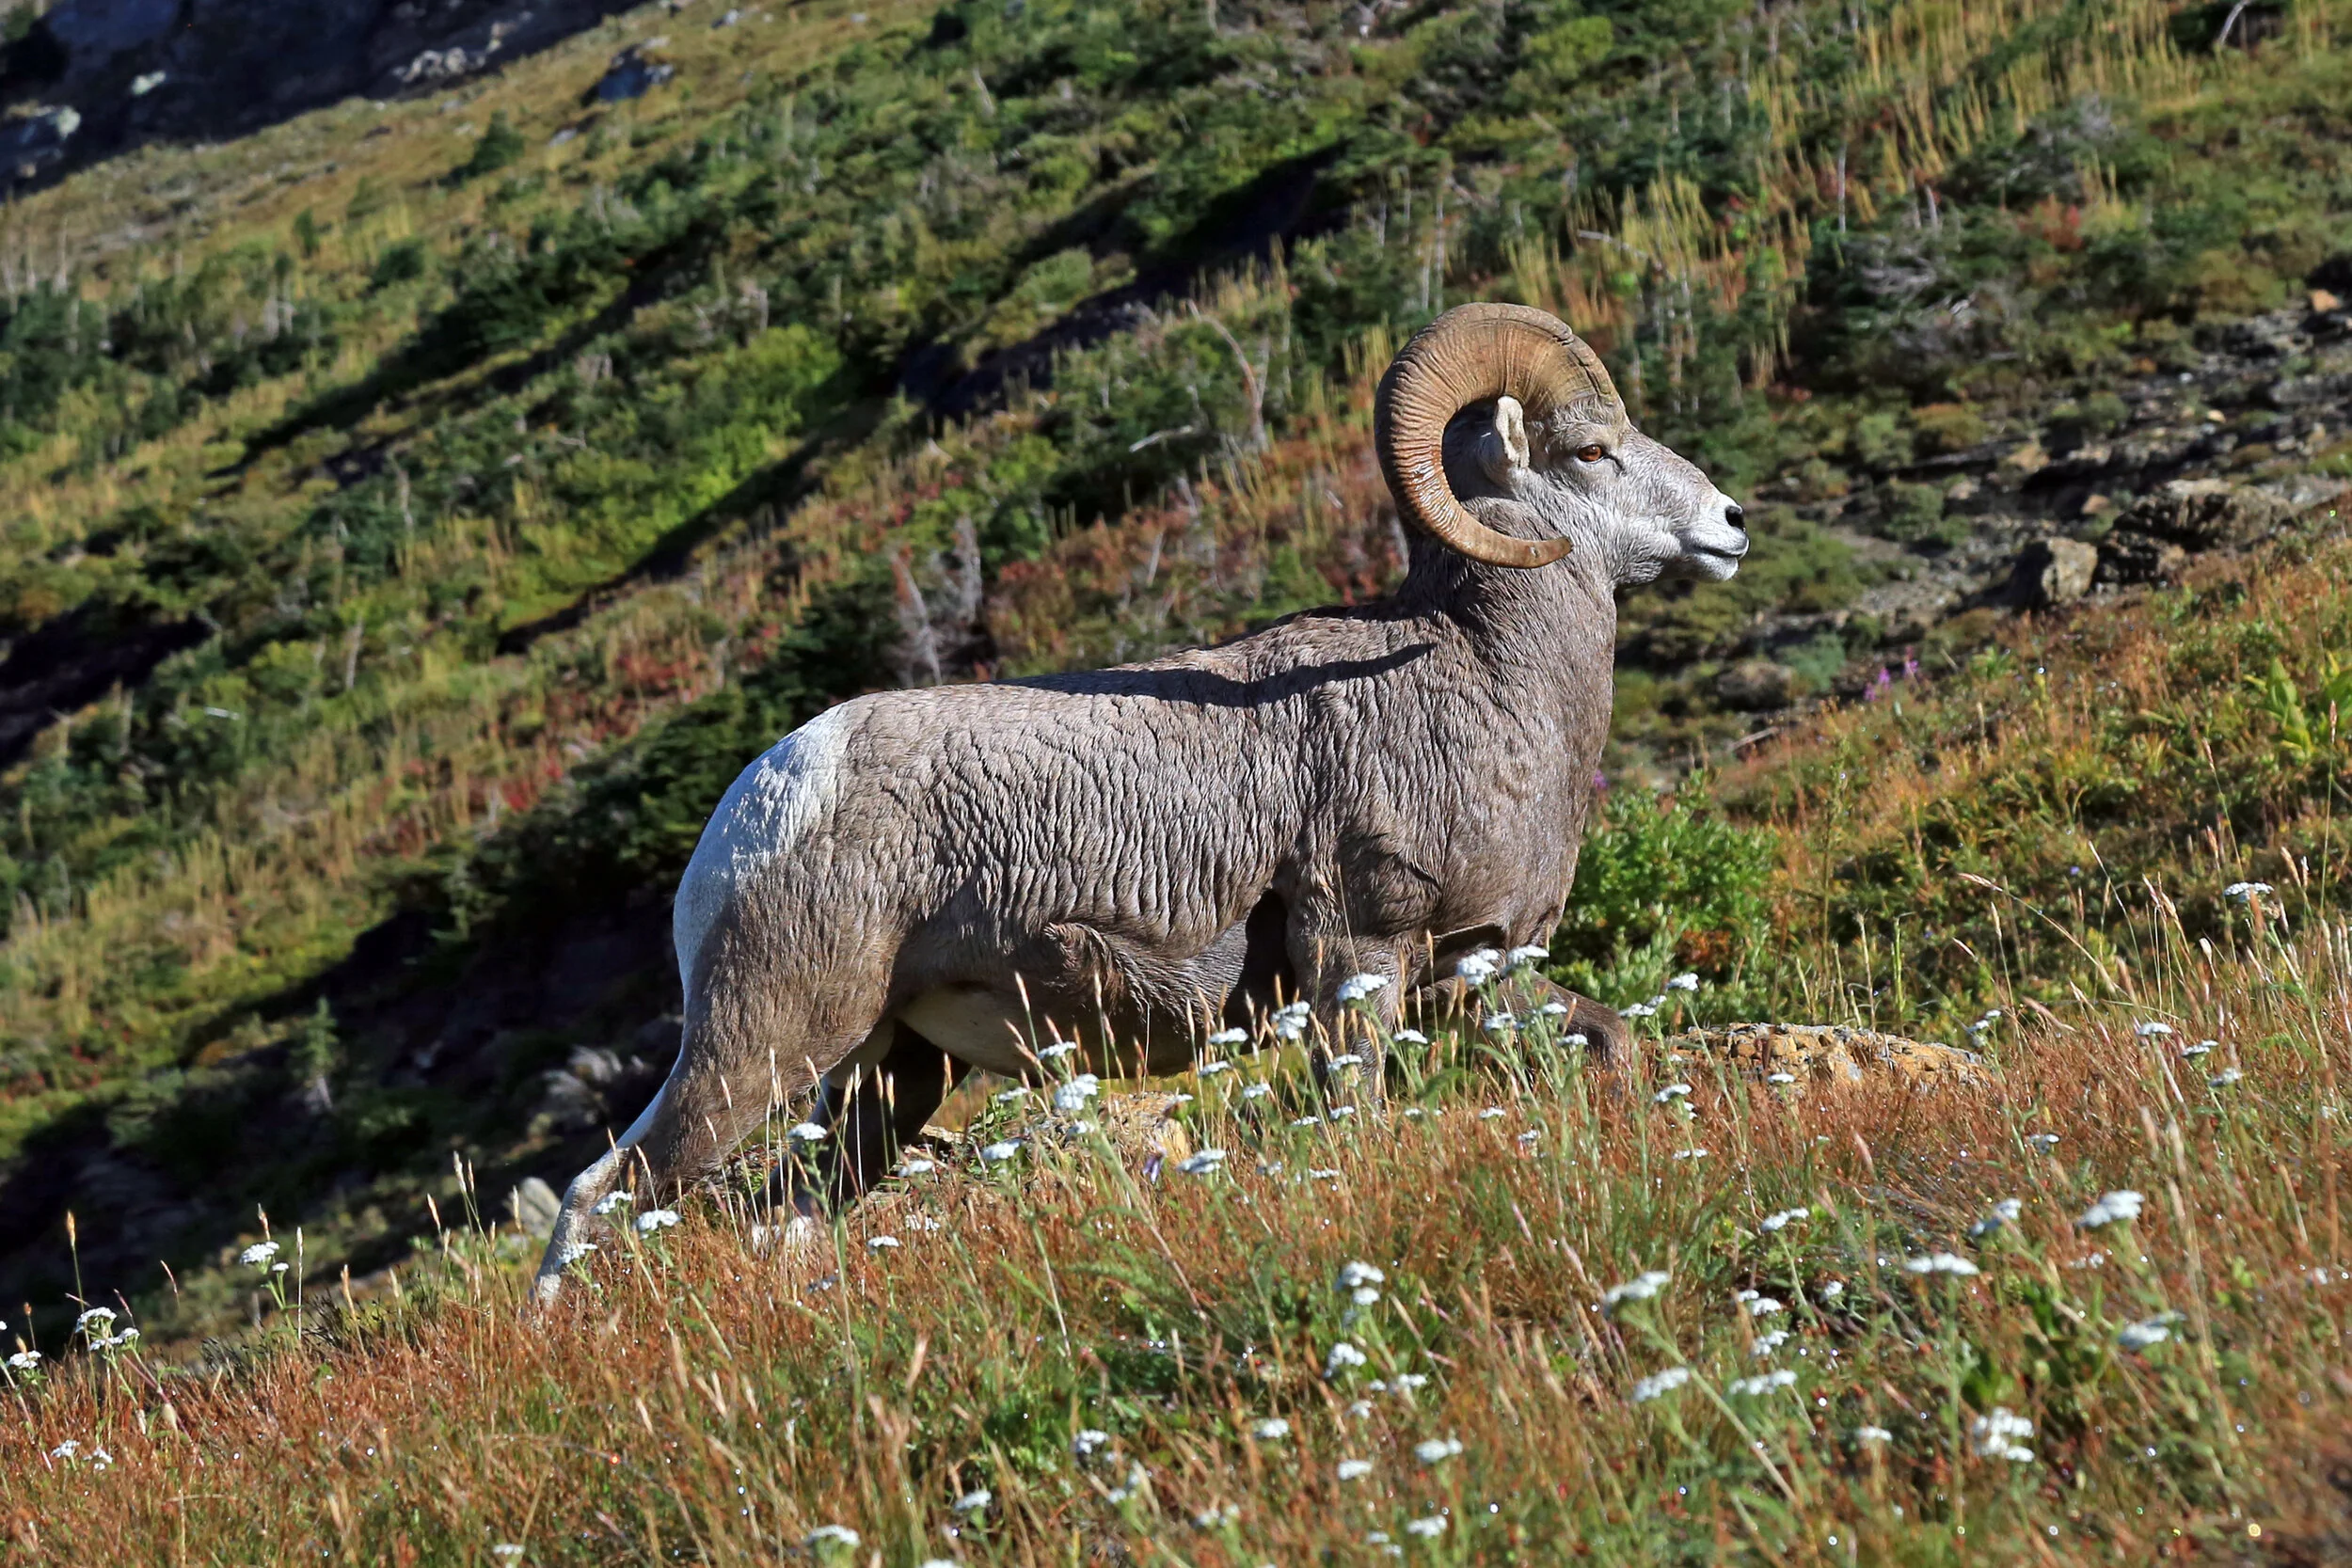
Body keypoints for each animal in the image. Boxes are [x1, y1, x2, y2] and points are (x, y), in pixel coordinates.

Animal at [533, 303, 1746, 1301]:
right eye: (1590, 451)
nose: (1731, 522)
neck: (1476, 678)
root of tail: (767, 793)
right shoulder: (1359, 952)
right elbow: (1349, 1115)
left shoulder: (1473, 972)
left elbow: (1610, 1040)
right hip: (769, 1038)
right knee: (605, 1189)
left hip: (890, 1075)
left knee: (790, 1219)